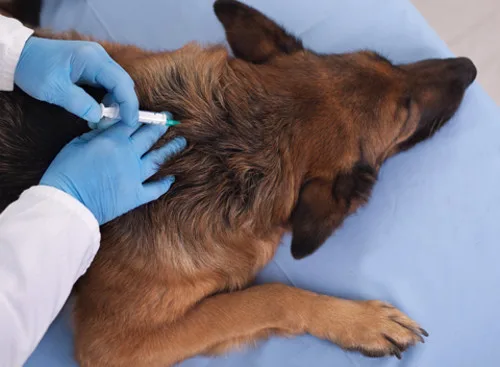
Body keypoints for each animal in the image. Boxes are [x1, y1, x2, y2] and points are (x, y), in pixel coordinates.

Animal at [0, 0, 476, 367]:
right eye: (406, 112)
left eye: (387, 61)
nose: (468, 67)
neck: (224, 140)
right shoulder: (112, 345)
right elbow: (268, 297)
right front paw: (358, 321)